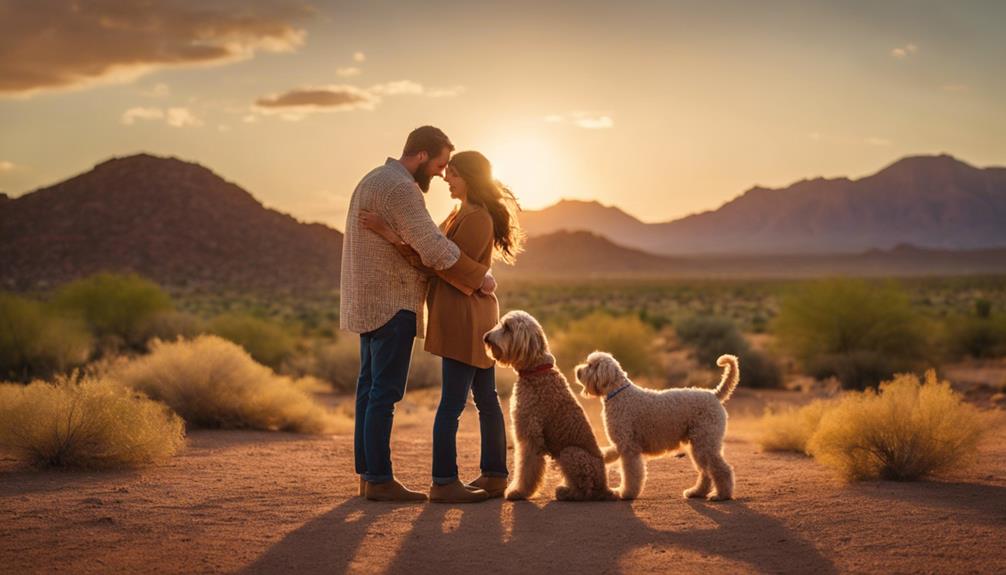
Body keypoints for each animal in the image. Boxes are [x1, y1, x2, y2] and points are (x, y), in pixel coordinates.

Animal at [482, 309, 615, 502]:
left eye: (507, 327)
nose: (485, 337)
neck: (536, 370)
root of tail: (605, 487)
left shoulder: (529, 434)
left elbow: (526, 467)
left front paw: (518, 491)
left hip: (570, 453)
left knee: (584, 490)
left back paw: (566, 492)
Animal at [575, 347, 740, 500]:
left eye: (590, 365)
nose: (577, 372)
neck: (618, 393)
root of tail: (714, 395)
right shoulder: (621, 444)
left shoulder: (628, 447)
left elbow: (631, 474)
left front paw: (627, 493)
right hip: (699, 445)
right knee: (706, 472)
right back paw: (697, 492)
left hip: (705, 443)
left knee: (722, 469)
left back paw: (721, 495)